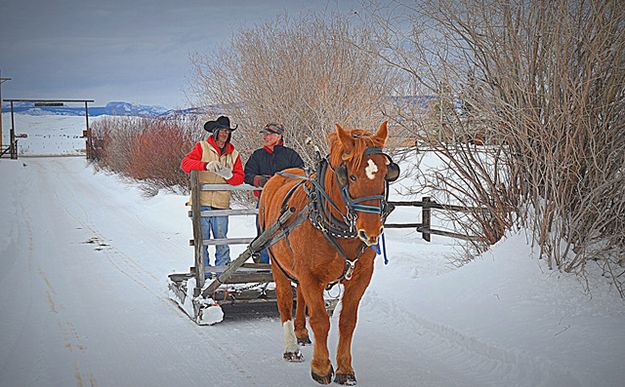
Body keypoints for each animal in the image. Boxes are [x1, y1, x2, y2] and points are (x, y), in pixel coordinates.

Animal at [258, 121, 400, 384]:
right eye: (351, 176)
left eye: (386, 175)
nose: (371, 231)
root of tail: (278, 176)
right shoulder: (309, 274)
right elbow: (320, 320)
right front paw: (321, 367)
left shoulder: (360, 276)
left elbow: (347, 321)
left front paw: (345, 369)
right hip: (277, 262)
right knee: (285, 299)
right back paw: (291, 346)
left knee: (300, 297)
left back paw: (301, 332)